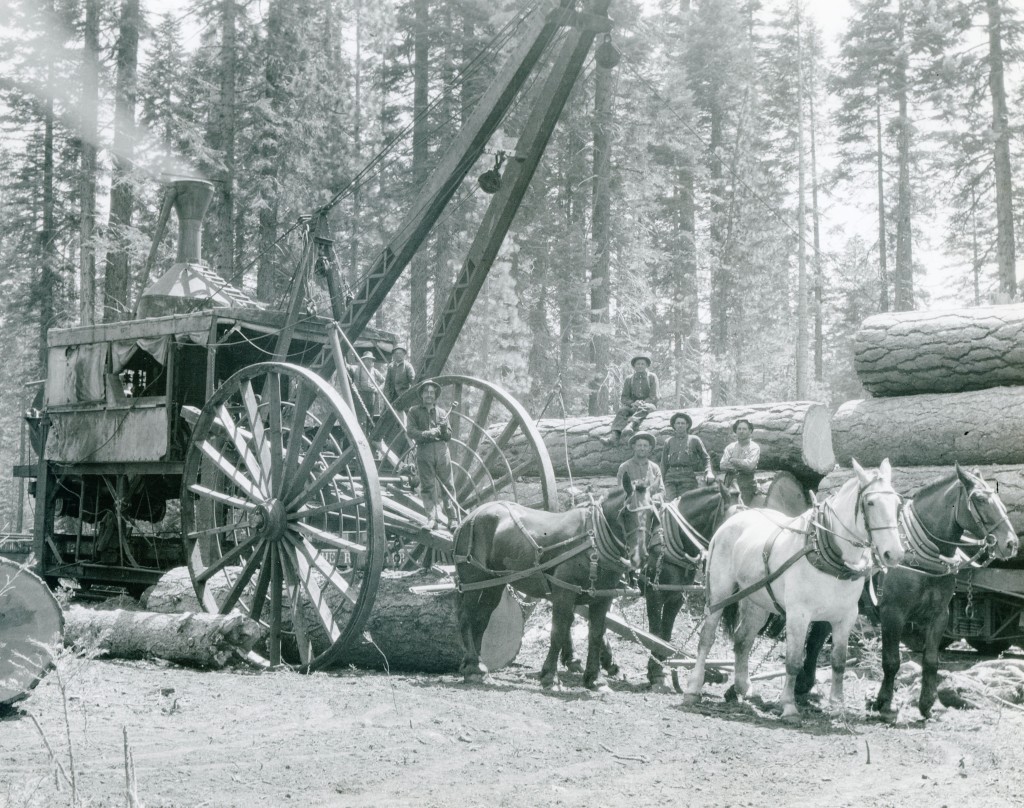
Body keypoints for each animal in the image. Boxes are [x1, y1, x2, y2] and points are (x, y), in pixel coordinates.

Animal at [452, 475, 651, 692]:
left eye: (652, 514)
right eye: (626, 513)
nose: (639, 556)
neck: (592, 542)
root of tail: (468, 517)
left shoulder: (602, 598)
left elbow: (596, 634)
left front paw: (595, 679)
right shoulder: (564, 592)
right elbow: (559, 630)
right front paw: (550, 677)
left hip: (493, 584)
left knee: (481, 619)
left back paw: (475, 665)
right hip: (474, 581)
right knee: (466, 618)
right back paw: (474, 667)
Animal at [643, 481, 741, 684]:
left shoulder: (676, 597)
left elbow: (665, 634)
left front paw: (660, 666)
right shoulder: (654, 593)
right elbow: (654, 633)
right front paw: (655, 671)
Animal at [684, 456, 901, 720]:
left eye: (898, 504)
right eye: (870, 502)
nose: (894, 553)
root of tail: (732, 519)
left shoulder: (845, 617)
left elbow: (839, 661)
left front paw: (837, 705)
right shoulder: (799, 614)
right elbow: (794, 661)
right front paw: (788, 705)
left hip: (757, 602)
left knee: (743, 640)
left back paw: (745, 688)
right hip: (719, 592)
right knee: (707, 637)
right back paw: (693, 688)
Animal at [798, 462, 1015, 720]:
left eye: (999, 497)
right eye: (980, 499)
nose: (1011, 543)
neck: (920, 560)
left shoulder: (940, 615)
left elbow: (931, 660)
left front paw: (928, 703)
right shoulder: (893, 613)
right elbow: (892, 660)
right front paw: (884, 703)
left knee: (816, 639)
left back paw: (805, 686)